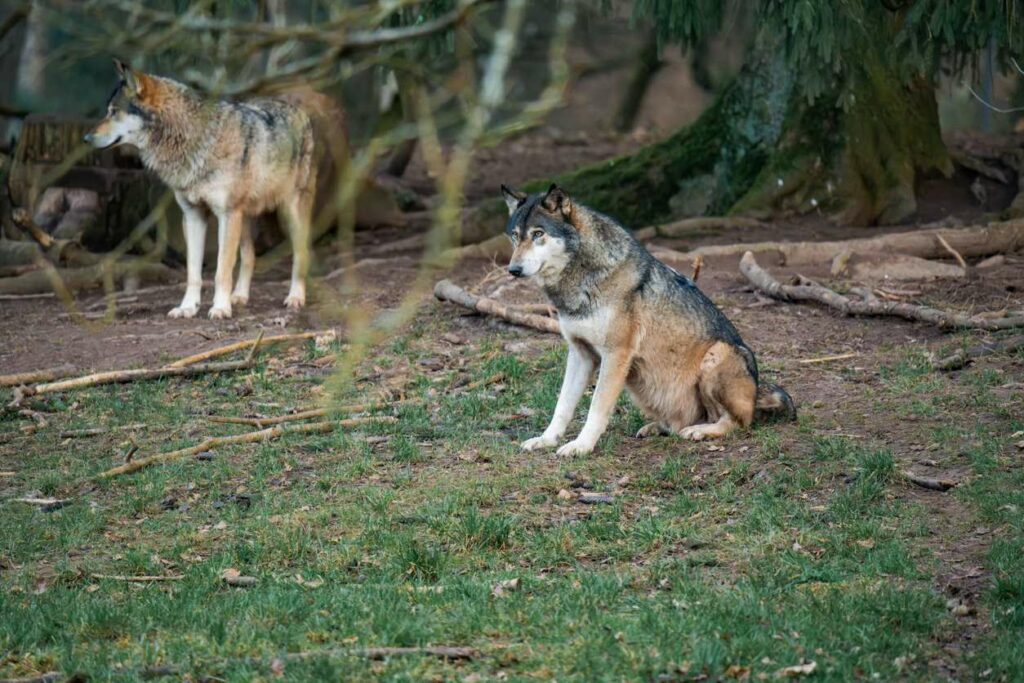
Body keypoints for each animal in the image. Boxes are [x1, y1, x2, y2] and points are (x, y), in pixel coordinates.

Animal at [88, 60, 344, 319]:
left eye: (113, 112)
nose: (87, 137)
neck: (196, 139)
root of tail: (297, 109)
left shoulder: (226, 214)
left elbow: (222, 269)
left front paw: (220, 308)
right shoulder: (193, 215)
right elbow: (193, 272)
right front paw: (188, 308)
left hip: (288, 213)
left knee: (301, 254)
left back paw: (295, 297)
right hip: (244, 219)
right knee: (249, 256)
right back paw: (239, 296)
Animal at [499, 184, 794, 456]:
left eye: (538, 234)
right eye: (515, 236)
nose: (513, 270)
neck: (582, 280)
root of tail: (756, 392)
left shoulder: (615, 355)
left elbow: (596, 407)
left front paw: (581, 446)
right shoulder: (580, 353)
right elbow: (562, 406)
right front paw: (546, 439)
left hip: (718, 354)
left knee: (736, 421)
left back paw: (700, 431)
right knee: (682, 422)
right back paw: (658, 427)